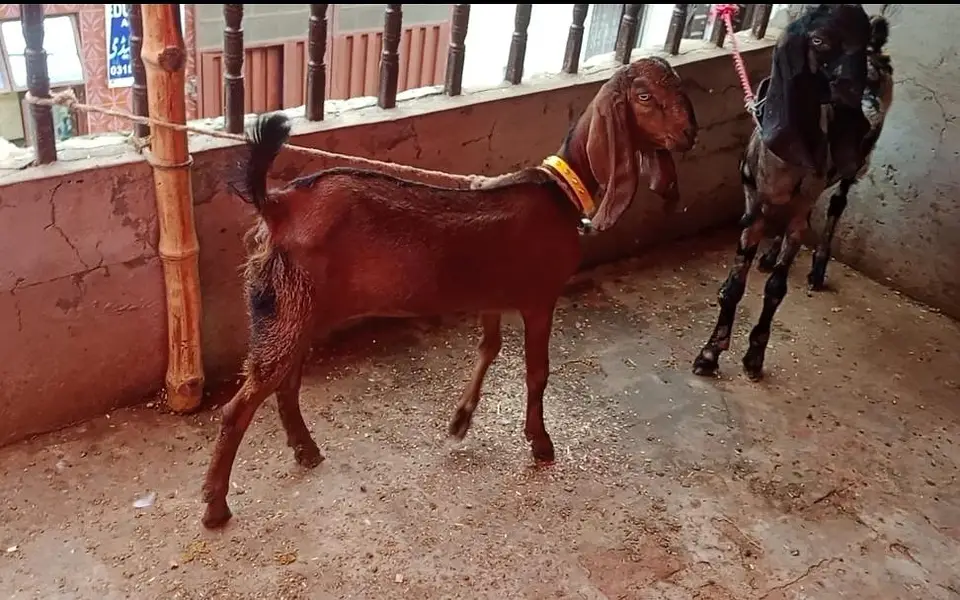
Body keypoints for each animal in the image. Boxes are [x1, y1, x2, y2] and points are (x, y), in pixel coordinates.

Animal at [201, 57, 698, 529]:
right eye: (643, 95)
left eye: (679, 88)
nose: (688, 135)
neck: (561, 193)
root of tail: (277, 205)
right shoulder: (539, 297)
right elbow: (537, 372)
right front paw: (540, 443)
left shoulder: (493, 296)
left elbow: (489, 346)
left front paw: (461, 421)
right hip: (290, 306)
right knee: (238, 407)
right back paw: (215, 505)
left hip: (298, 308)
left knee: (285, 385)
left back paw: (305, 451)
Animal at [693, 4, 882, 381]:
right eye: (819, 40)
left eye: (862, 39)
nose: (856, 94)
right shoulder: (754, 209)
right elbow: (733, 288)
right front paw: (709, 353)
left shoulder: (798, 213)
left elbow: (776, 290)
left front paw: (754, 356)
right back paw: (769, 256)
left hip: (849, 171)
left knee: (837, 203)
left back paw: (817, 269)